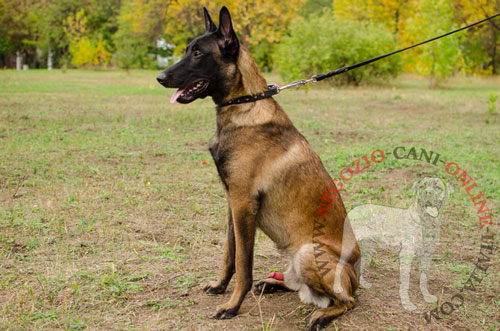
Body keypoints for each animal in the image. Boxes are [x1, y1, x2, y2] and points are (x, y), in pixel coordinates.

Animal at [156, 6, 360, 330]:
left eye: (198, 53)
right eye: (189, 49)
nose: (160, 77)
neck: (245, 105)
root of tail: (358, 276)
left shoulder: (242, 204)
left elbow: (243, 263)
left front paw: (232, 305)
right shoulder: (232, 203)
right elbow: (229, 254)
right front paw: (220, 287)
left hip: (307, 253)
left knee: (347, 301)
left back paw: (321, 315)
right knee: (297, 284)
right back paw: (273, 283)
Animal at [338, 178, 452, 312]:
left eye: (438, 187)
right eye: (422, 186)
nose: (427, 193)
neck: (426, 222)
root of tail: (352, 210)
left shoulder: (427, 255)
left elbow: (424, 278)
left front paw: (427, 297)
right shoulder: (406, 255)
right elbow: (405, 283)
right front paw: (407, 304)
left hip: (368, 248)